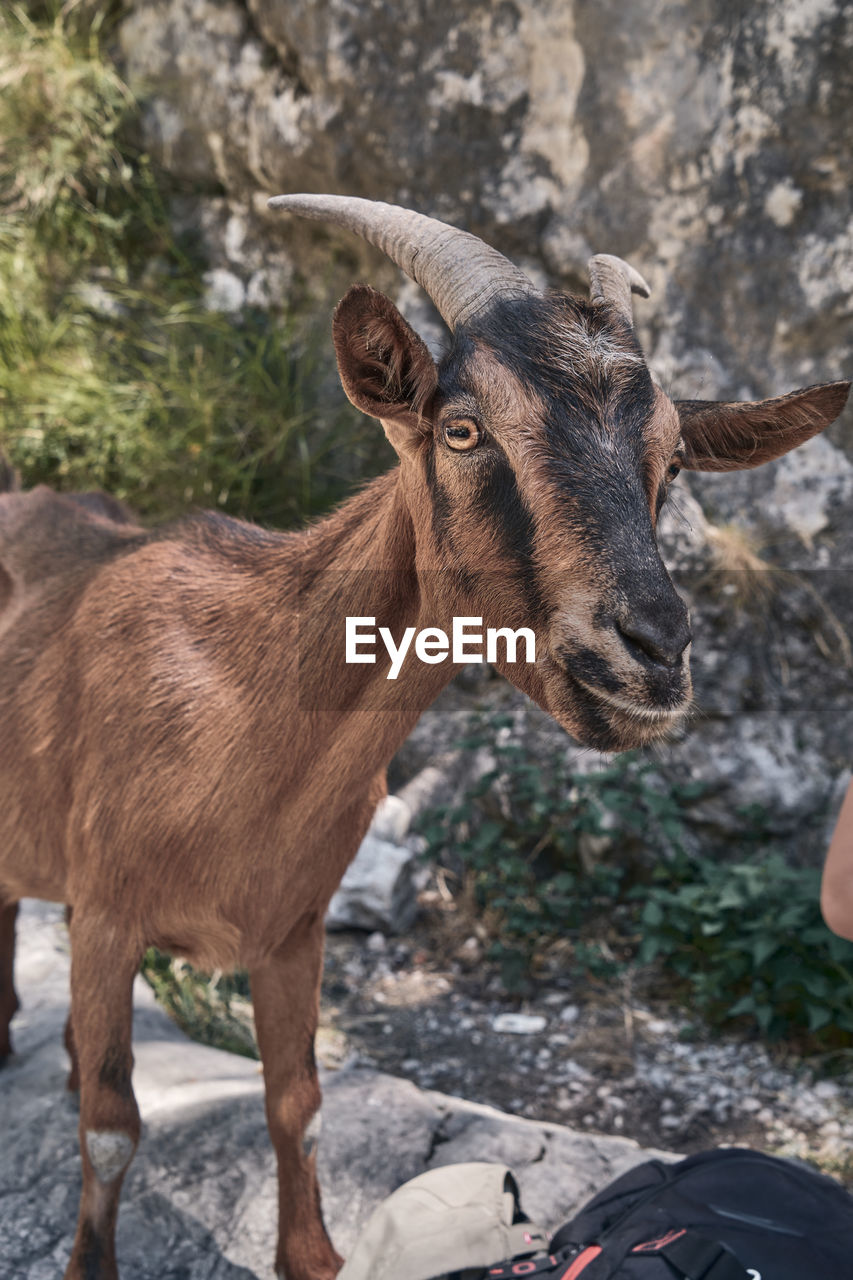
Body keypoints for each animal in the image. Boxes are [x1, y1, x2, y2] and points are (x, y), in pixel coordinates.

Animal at [0, 192, 845, 1280]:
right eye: (461, 427)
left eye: (668, 458)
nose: (653, 654)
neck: (233, 701)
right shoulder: (109, 914)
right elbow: (113, 1126)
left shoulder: (295, 927)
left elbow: (298, 1103)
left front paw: (313, 1253)